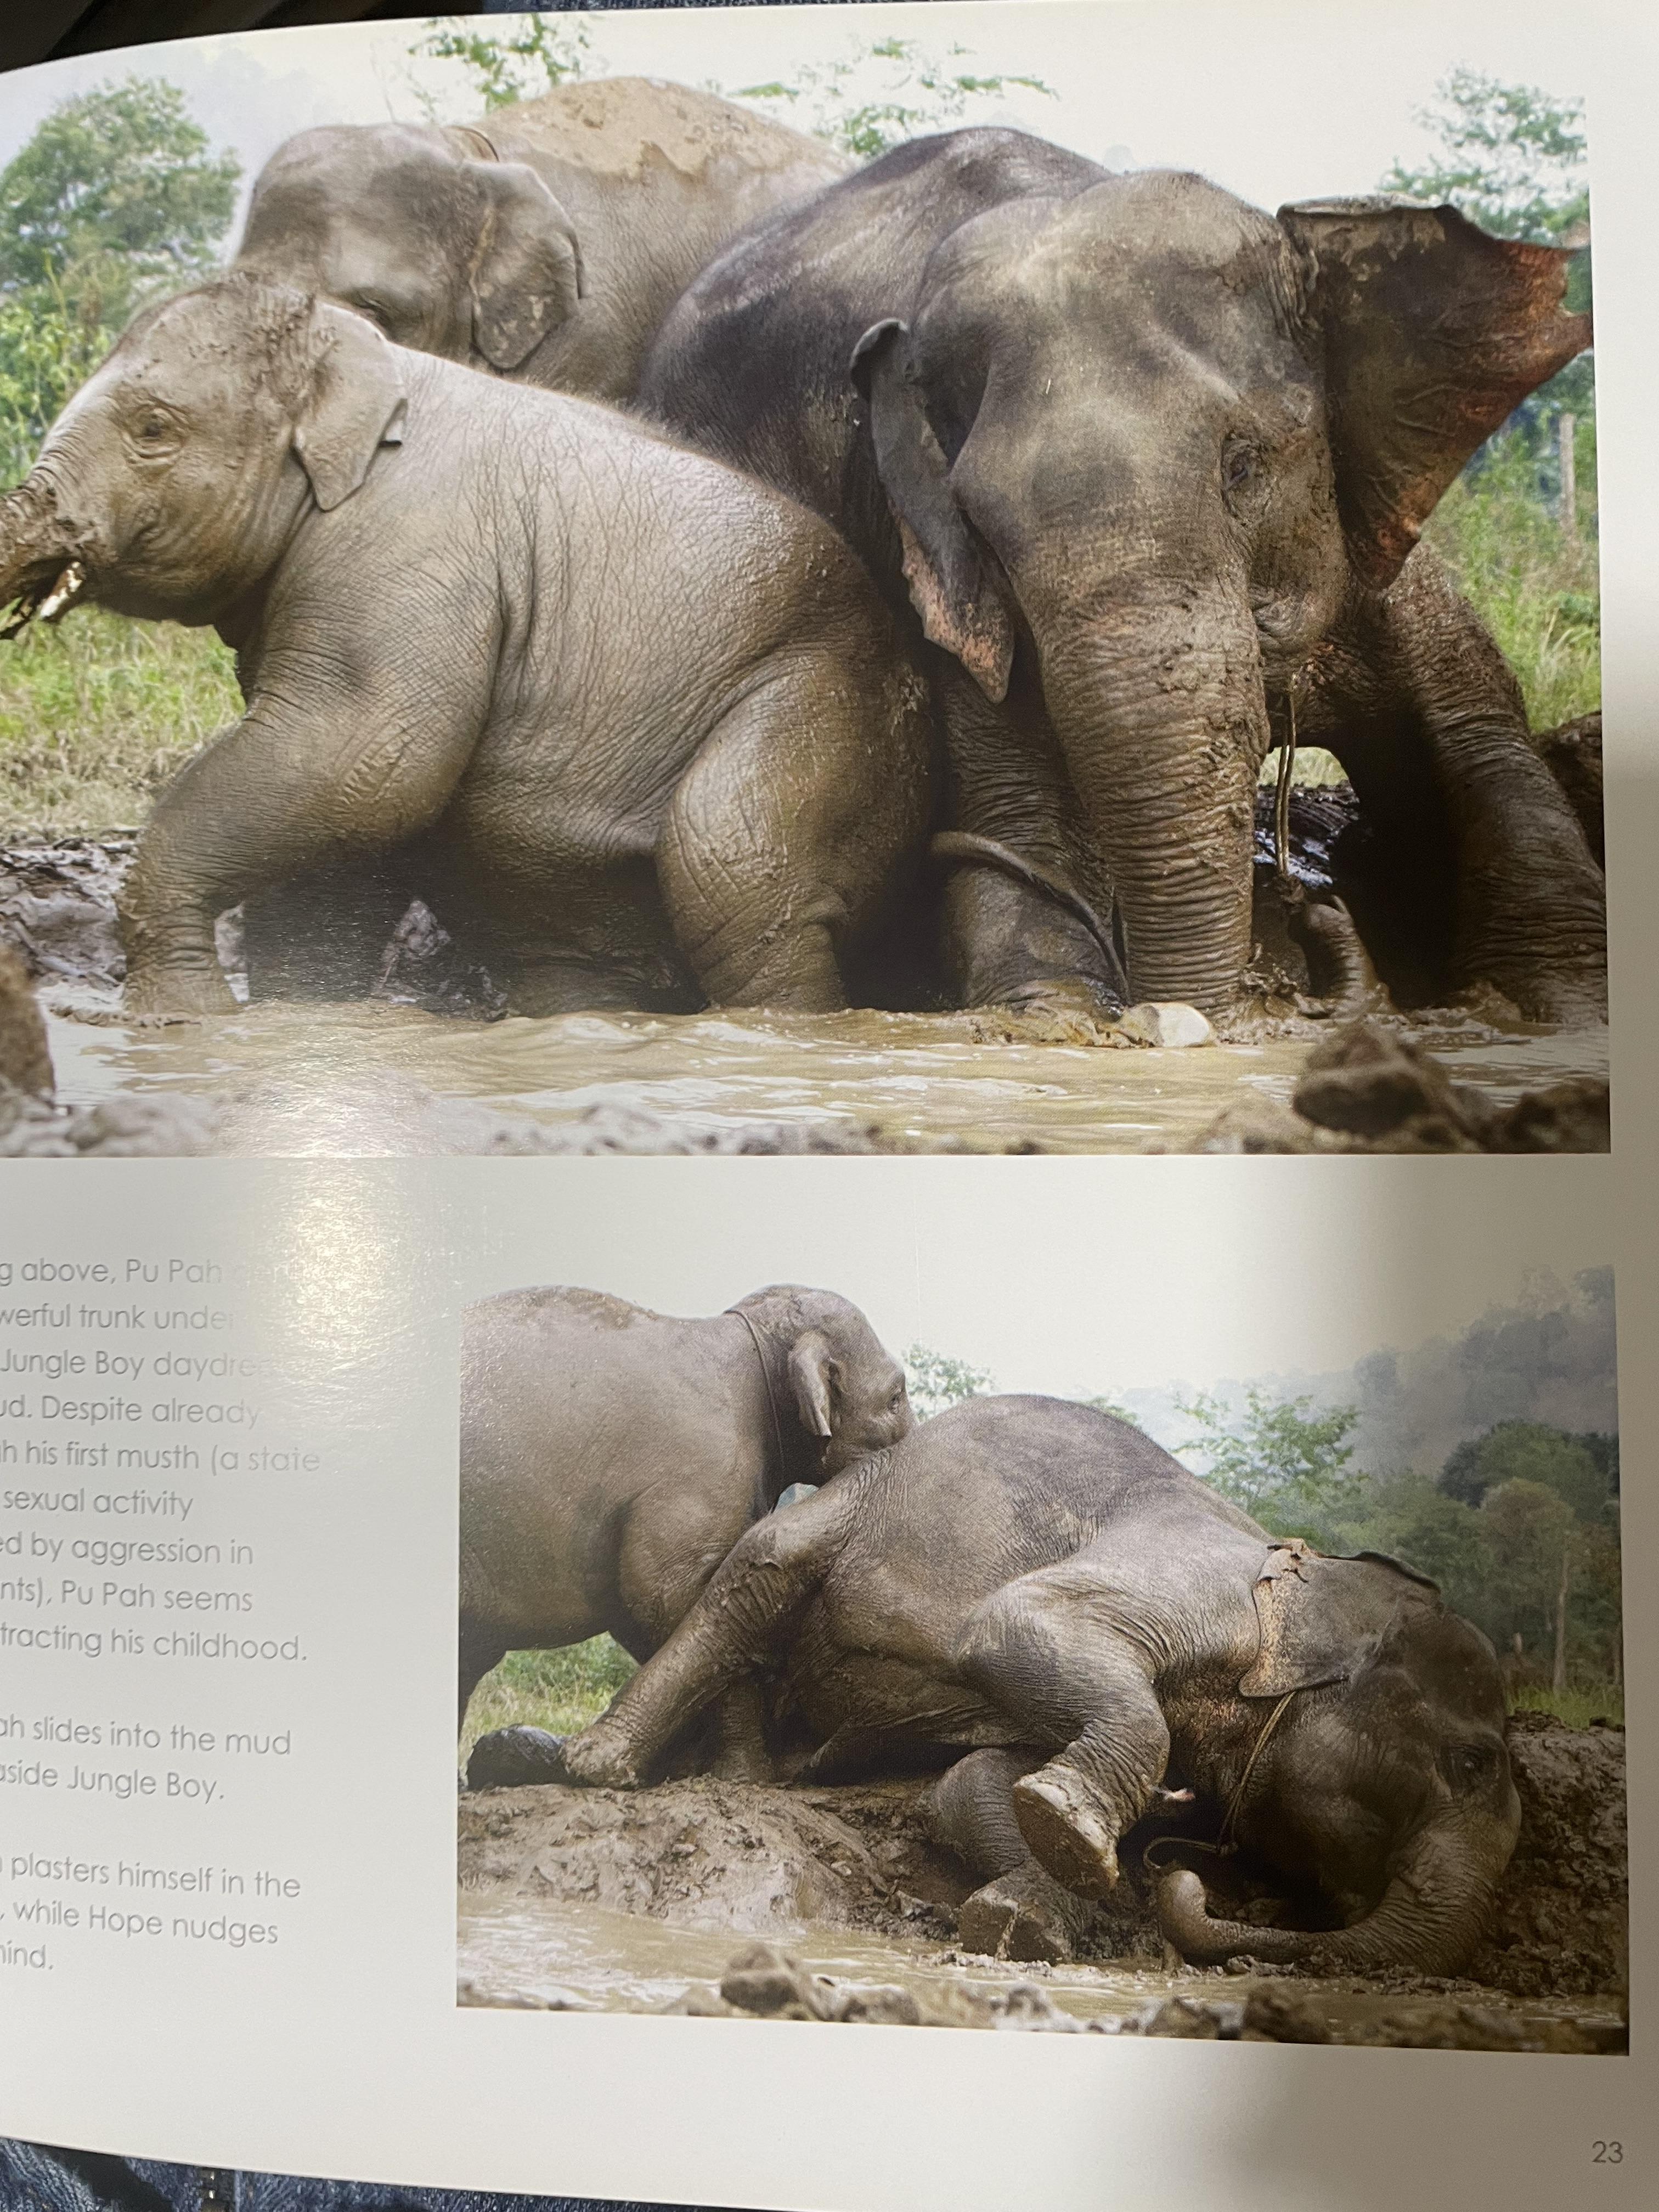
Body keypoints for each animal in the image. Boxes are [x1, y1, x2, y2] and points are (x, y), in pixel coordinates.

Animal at [0, 273, 931, 1019]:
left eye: (153, 429)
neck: (364, 360)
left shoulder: (402, 551)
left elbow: (364, 763)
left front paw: (183, 1023)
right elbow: (328, 814)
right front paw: (289, 1027)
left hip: (826, 700)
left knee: (736, 876)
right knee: (570, 957)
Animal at [551, 1394, 1520, 1976]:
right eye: (1471, 1764)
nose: (1183, 1874)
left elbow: (968, 1782)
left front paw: (1030, 1907)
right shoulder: (1191, 1580)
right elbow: (1014, 1621)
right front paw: (1069, 1839)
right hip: (850, 1502)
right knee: (757, 1576)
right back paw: (609, 1767)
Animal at [637, 131, 1607, 1024]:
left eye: (1244, 465)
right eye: (980, 521)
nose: (1308, 905)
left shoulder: (1376, 539)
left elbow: (1486, 752)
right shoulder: (924, 564)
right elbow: (1015, 827)